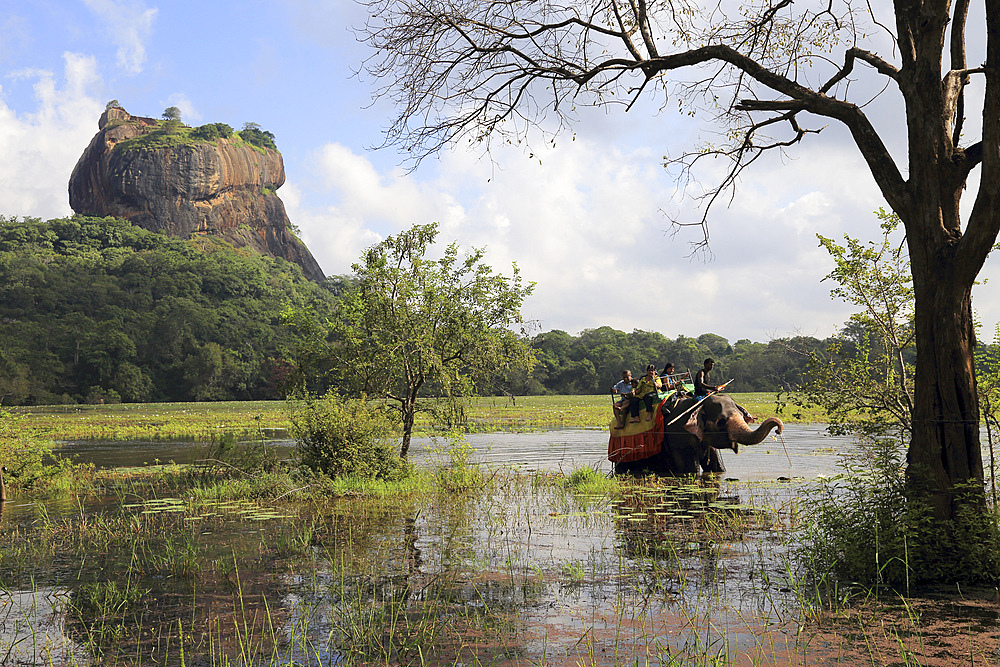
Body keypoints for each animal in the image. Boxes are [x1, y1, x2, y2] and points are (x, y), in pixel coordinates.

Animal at [612, 394, 784, 478]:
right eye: (722, 421)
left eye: (742, 416)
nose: (778, 430)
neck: (697, 404)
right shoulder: (678, 437)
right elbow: (690, 470)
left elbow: (717, 467)